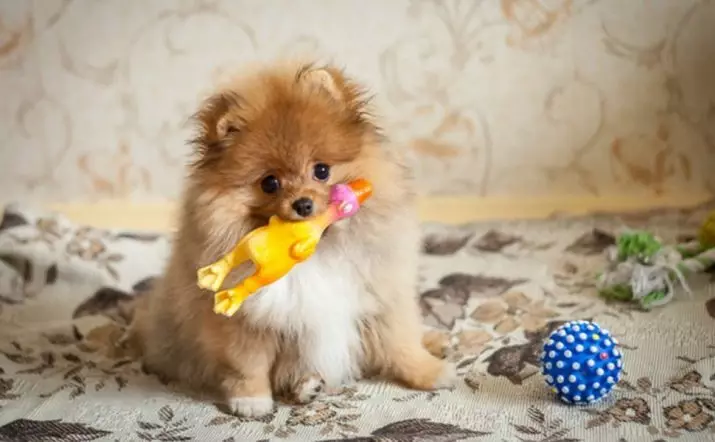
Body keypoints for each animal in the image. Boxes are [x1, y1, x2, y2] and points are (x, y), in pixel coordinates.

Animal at [131, 60, 456, 416]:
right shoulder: (244, 323)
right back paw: (307, 386)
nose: (303, 204)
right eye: (270, 183)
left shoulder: (380, 297)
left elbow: (401, 343)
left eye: (322, 170)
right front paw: (251, 401)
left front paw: (429, 372)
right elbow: (248, 364)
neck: (313, 251)